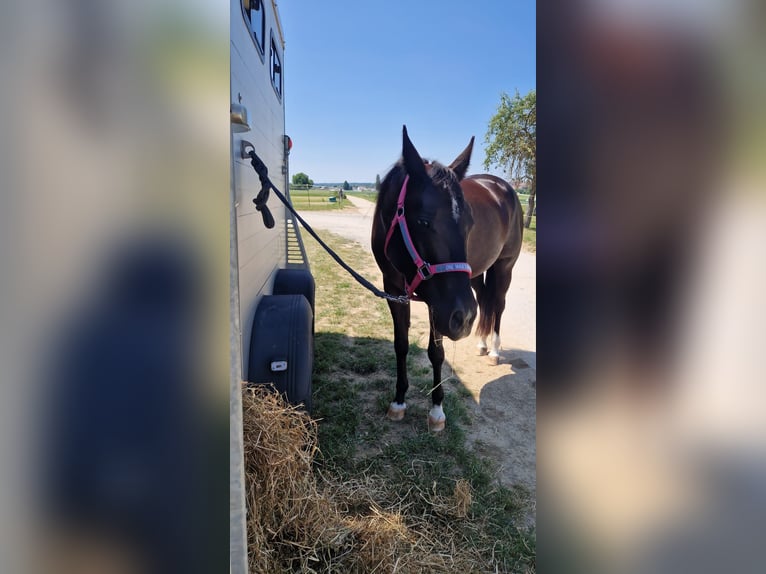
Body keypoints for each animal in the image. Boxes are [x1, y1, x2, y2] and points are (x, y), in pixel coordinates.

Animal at [371, 126, 523, 431]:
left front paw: (437, 409)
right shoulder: (393, 288)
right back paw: (481, 343)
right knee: (484, 300)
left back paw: (494, 350)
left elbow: (436, 352)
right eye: (423, 221)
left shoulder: (437, 304)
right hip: (475, 275)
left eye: (469, 223)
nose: (463, 319)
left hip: (504, 267)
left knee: (498, 305)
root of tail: (502, 186)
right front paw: (399, 401)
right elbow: (401, 344)